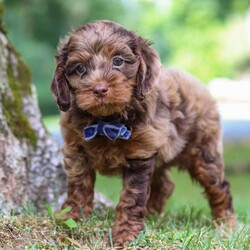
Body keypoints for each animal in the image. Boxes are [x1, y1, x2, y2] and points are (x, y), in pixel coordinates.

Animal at [50, 19, 234, 246]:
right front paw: (71, 218)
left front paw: (125, 234)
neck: (105, 122)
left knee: (219, 186)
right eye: (80, 68)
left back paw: (226, 225)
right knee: (165, 185)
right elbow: (78, 187)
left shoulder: (139, 154)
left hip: (203, 153)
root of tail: (196, 83)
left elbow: (131, 198)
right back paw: (153, 214)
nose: (100, 89)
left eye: (118, 61)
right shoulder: (76, 151)